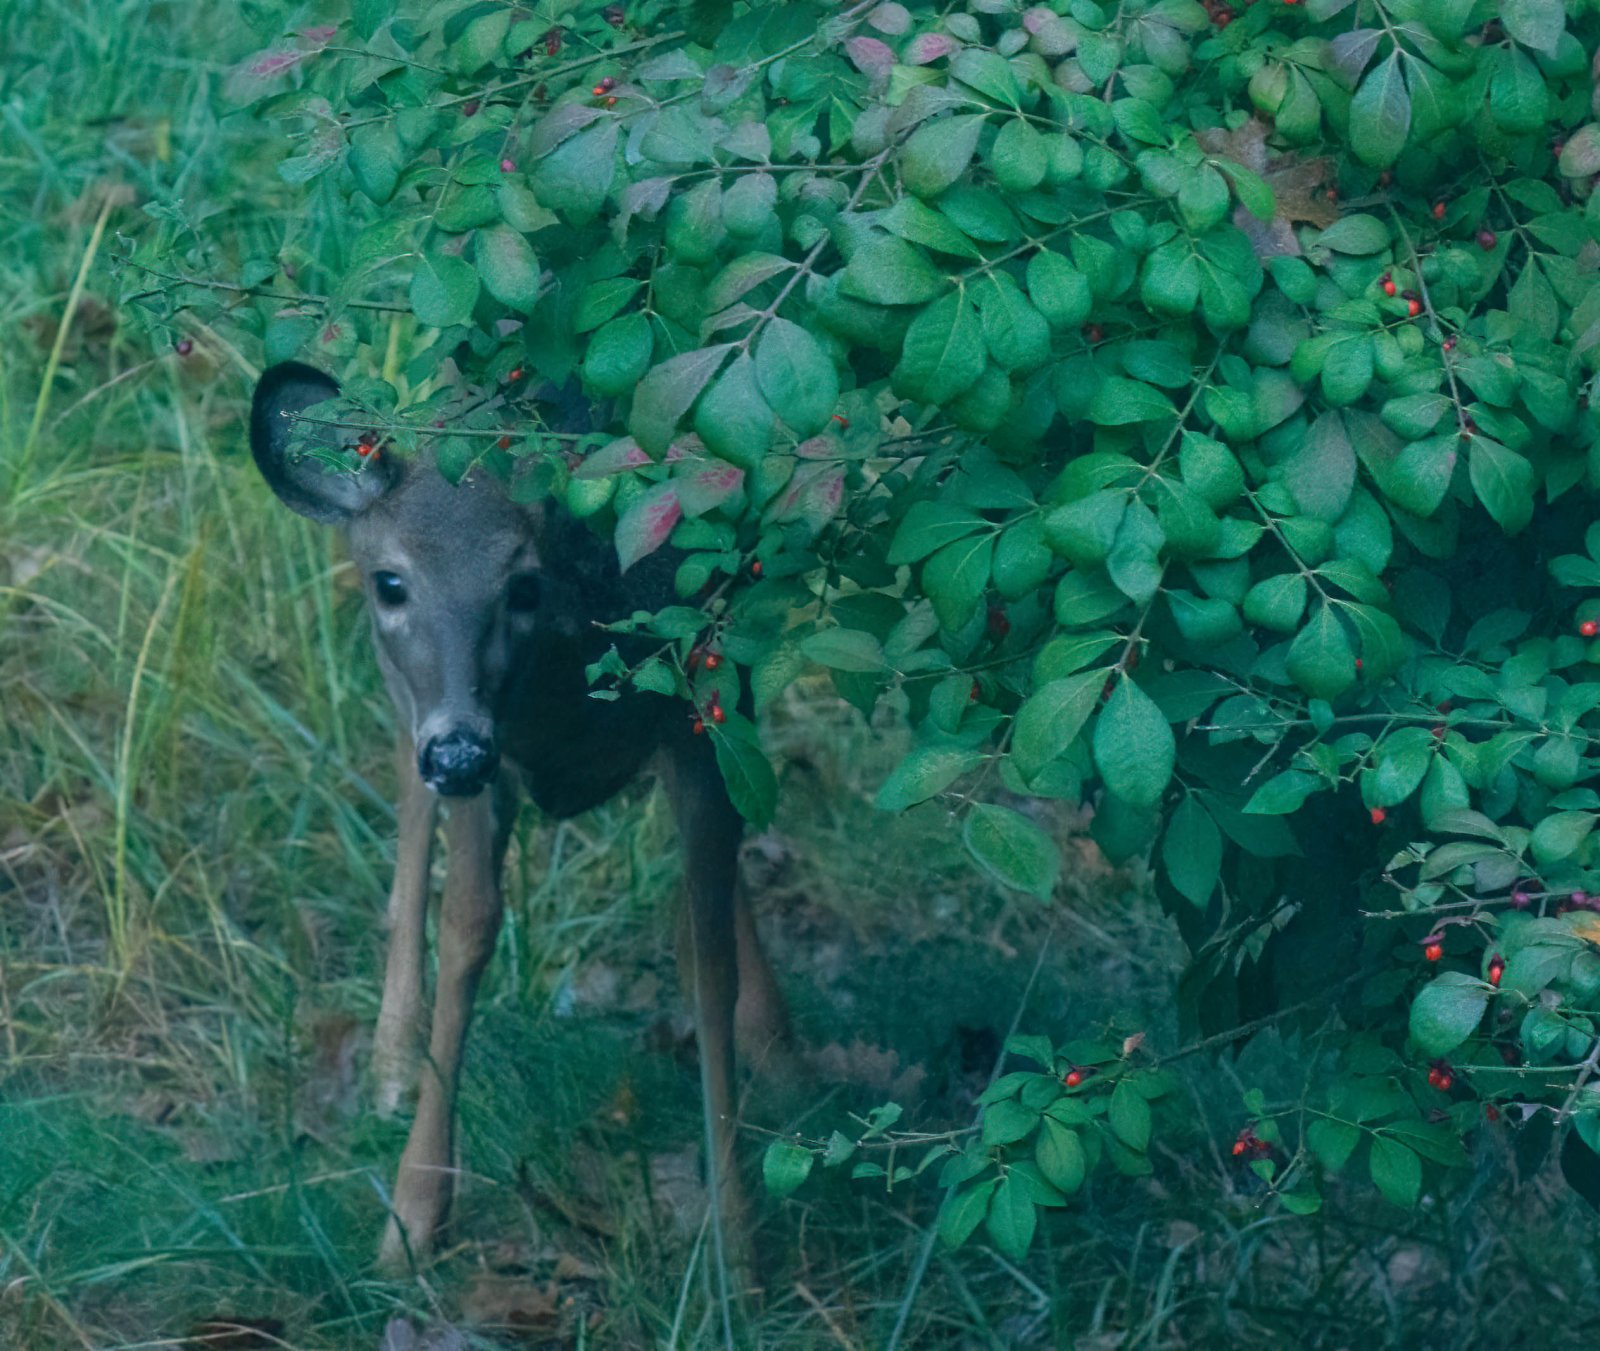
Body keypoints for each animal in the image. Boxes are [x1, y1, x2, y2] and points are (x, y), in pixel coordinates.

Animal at [248, 361, 787, 1274]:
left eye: (523, 584)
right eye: (392, 581)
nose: (460, 750)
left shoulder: (706, 718)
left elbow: (704, 953)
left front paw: (742, 1246)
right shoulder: (488, 763)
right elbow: (468, 927)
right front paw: (411, 1217)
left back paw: (774, 1037)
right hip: (408, 706)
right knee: (407, 799)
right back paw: (389, 1062)